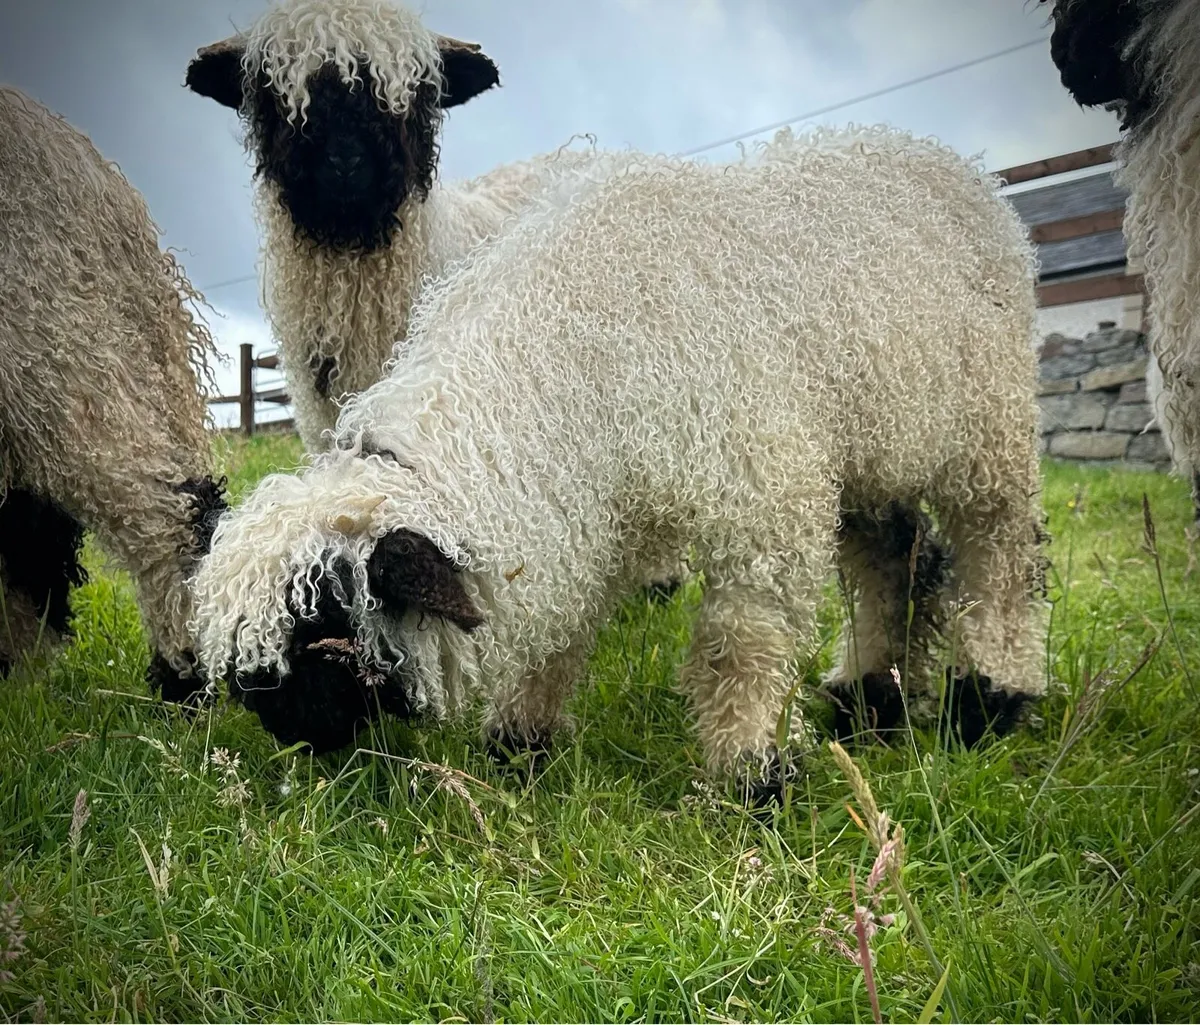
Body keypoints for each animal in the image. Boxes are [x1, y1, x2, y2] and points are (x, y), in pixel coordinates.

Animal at [189, 125, 1049, 796]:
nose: (288, 729)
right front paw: (520, 745)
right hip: (877, 438)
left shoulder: (762, 486)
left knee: (1000, 549)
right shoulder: (597, 506)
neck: (574, 349)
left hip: (991, 426)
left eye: (325, 625)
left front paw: (750, 774)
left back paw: (988, 700)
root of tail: (955, 163)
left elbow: (742, 640)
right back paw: (873, 700)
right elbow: (562, 626)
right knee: (894, 555)